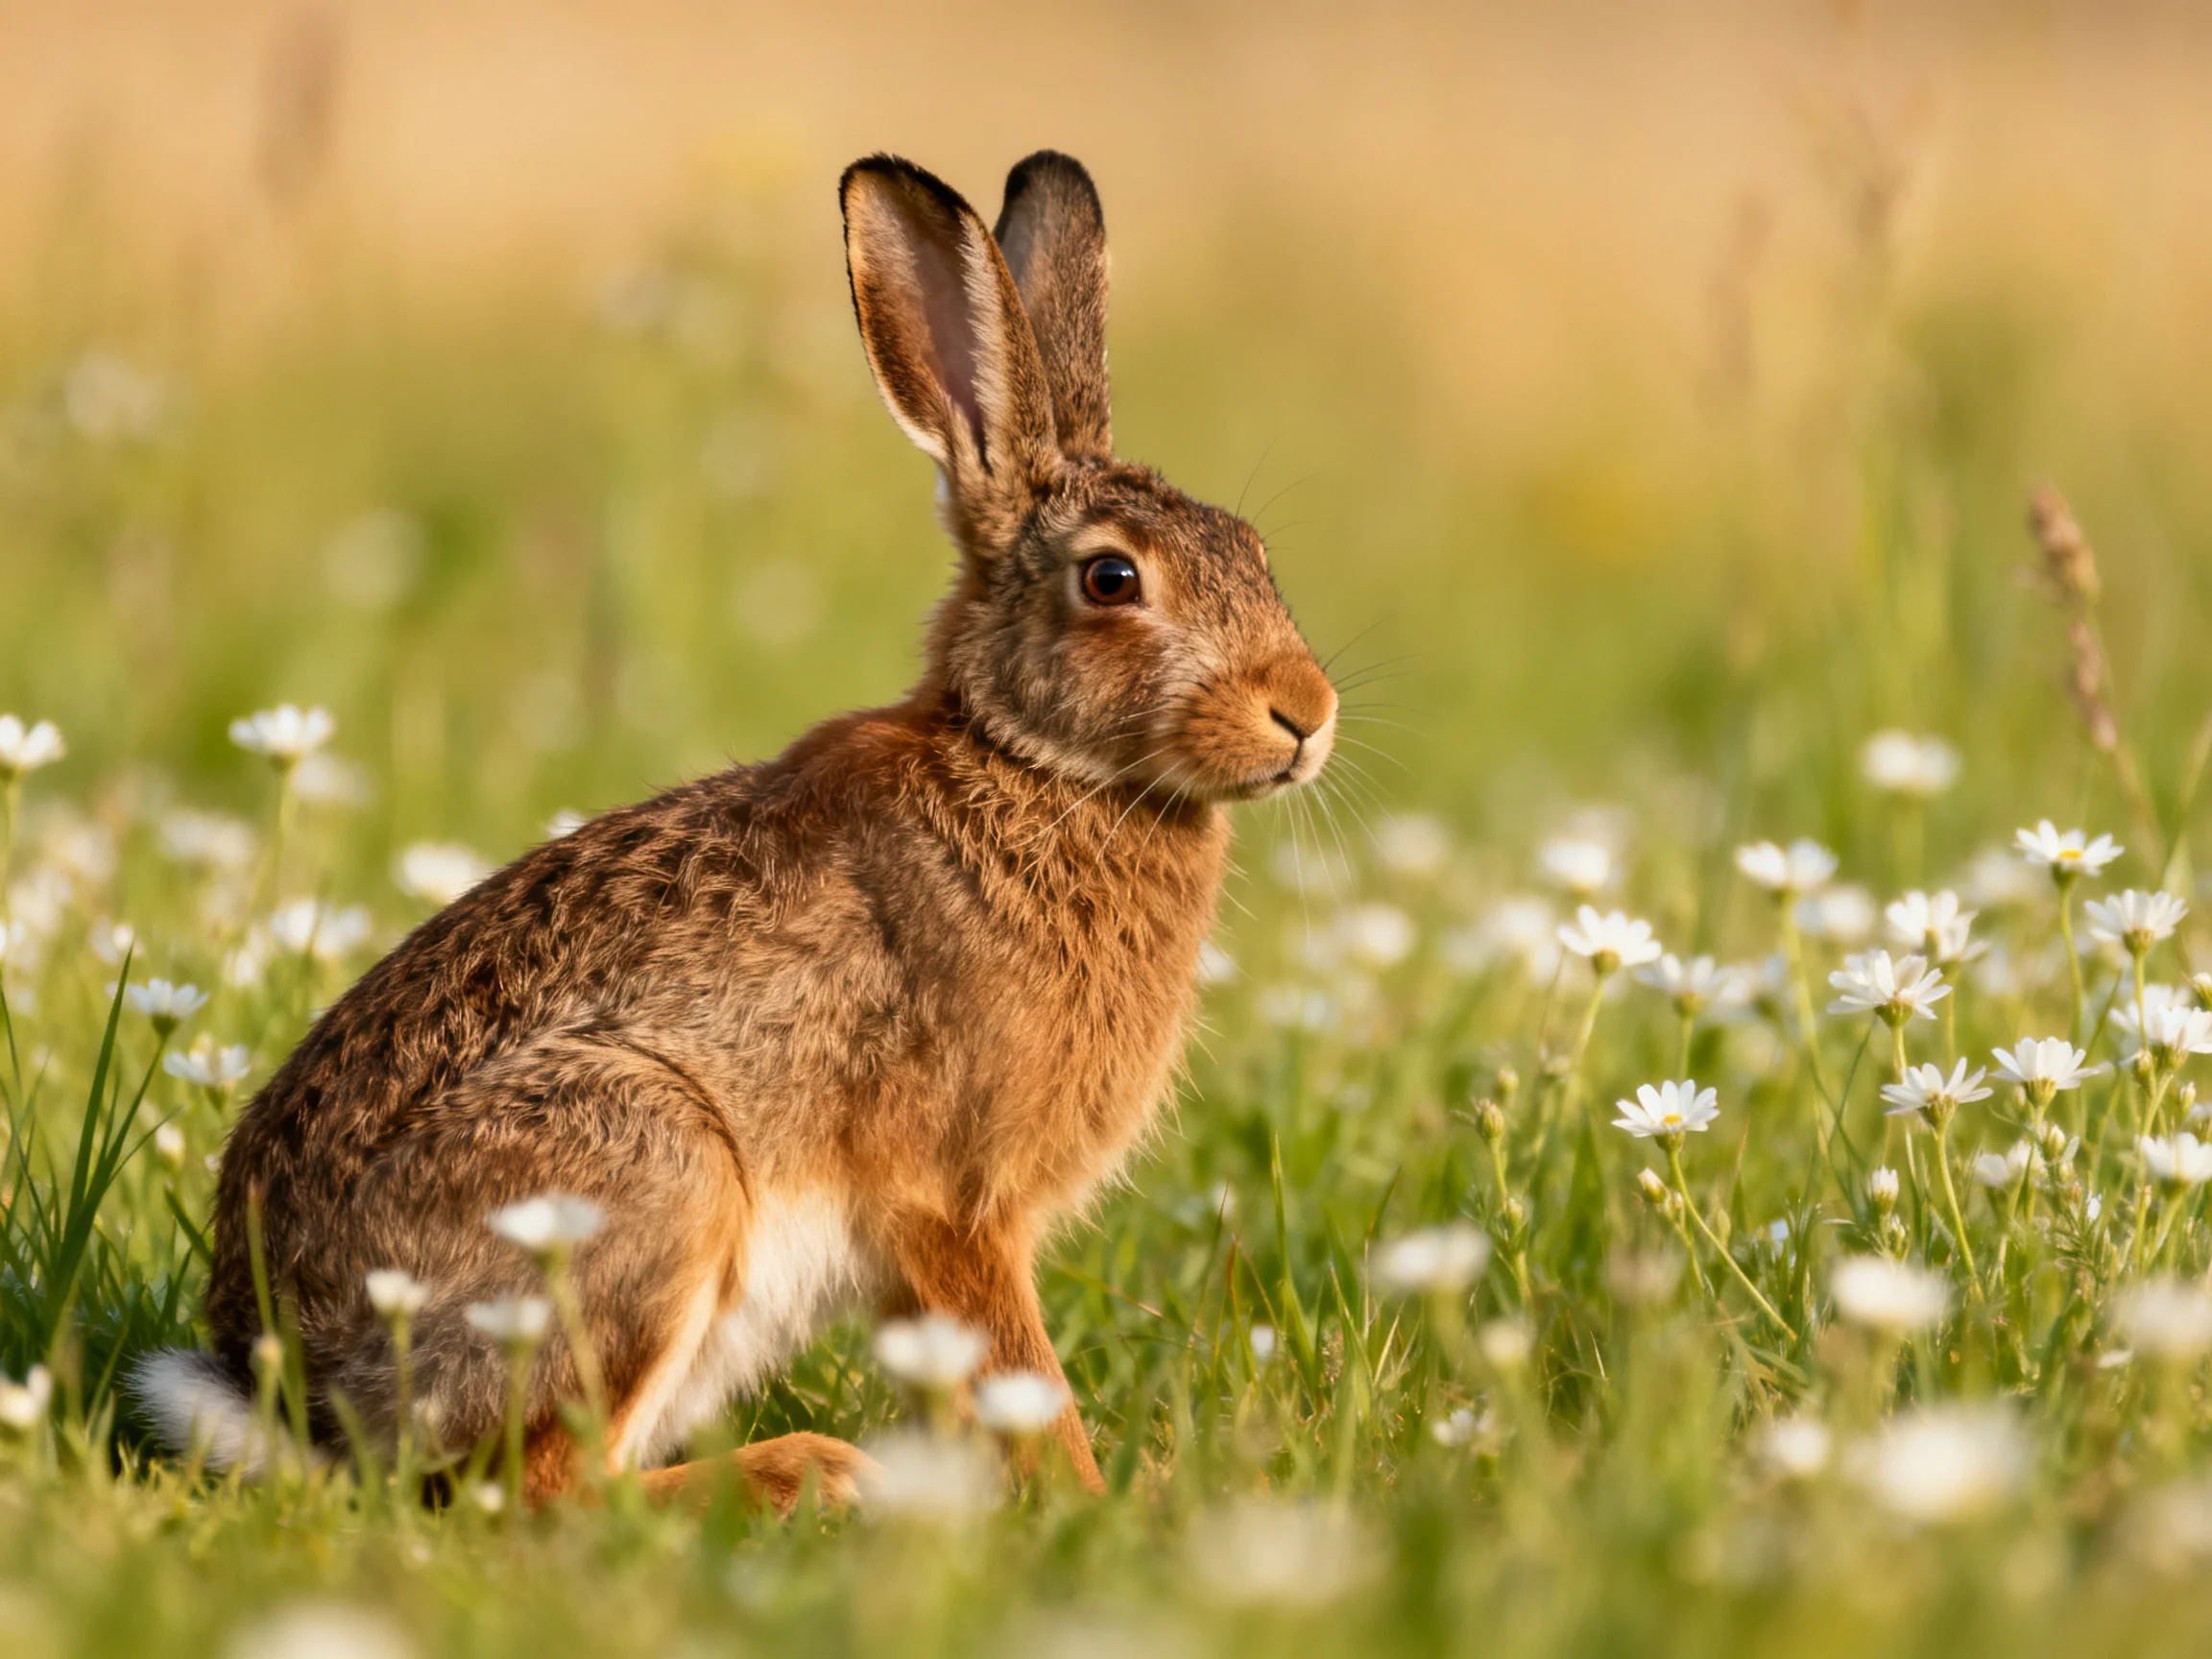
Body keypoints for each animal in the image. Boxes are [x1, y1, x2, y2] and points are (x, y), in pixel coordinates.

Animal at [134, 150, 1338, 1510]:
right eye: (1112, 580)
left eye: (1253, 552)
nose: (1307, 714)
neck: (1030, 765)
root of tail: (297, 1391)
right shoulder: (954, 1206)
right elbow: (1026, 1383)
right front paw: (1093, 1506)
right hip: (650, 1166)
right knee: (548, 1494)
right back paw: (815, 1474)